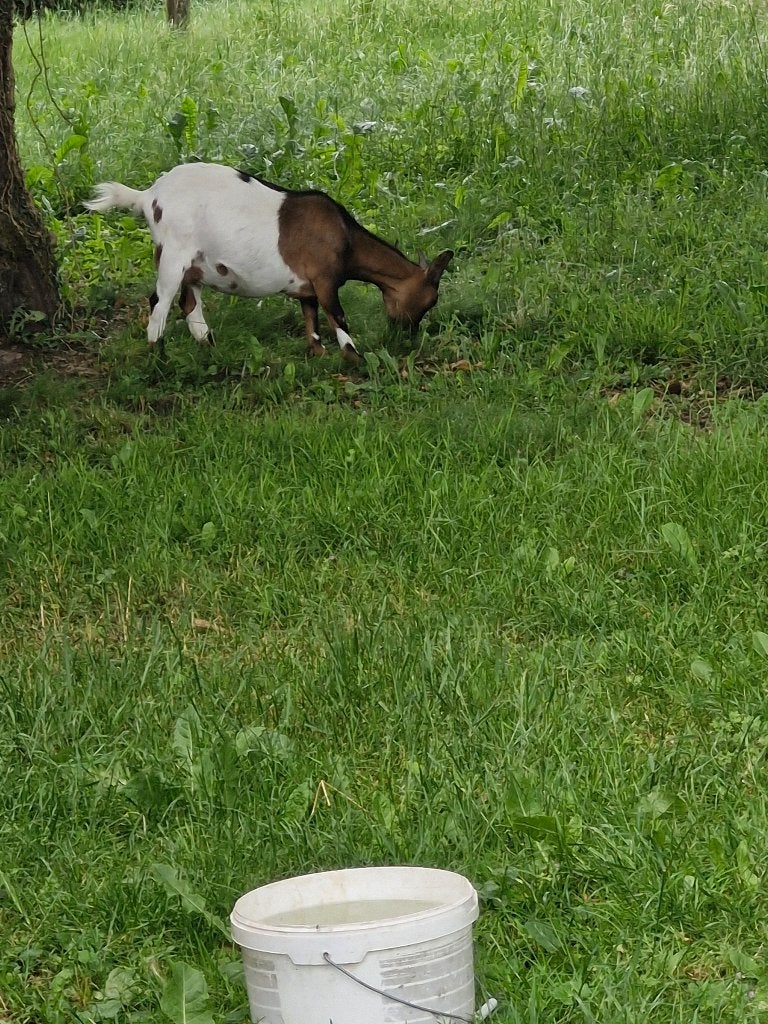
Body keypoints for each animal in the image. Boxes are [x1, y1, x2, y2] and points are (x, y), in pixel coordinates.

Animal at [84, 162, 453, 360]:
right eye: (430, 300)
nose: (406, 334)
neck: (345, 236)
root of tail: (148, 196)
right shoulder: (325, 279)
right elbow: (337, 316)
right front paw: (355, 358)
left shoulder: (307, 287)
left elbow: (311, 319)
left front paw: (316, 354)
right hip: (173, 253)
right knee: (159, 304)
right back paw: (158, 355)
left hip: (194, 264)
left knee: (189, 303)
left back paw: (209, 346)